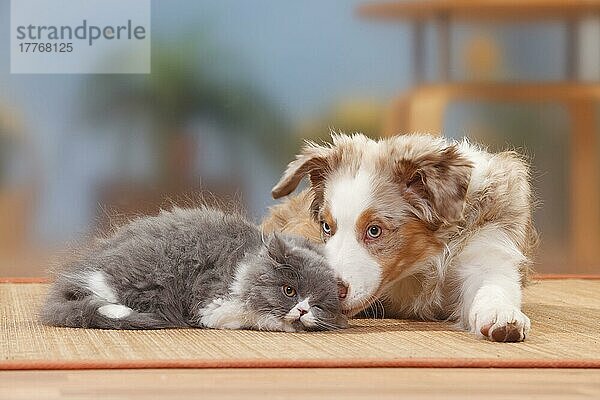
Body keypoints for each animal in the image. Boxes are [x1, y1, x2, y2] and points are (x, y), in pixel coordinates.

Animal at [264, 134, 536, 340]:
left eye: (374, 230)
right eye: (326, 227)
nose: (328, 290)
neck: (421, 265)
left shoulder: (489, 246)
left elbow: (494, 285)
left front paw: (502, 316)